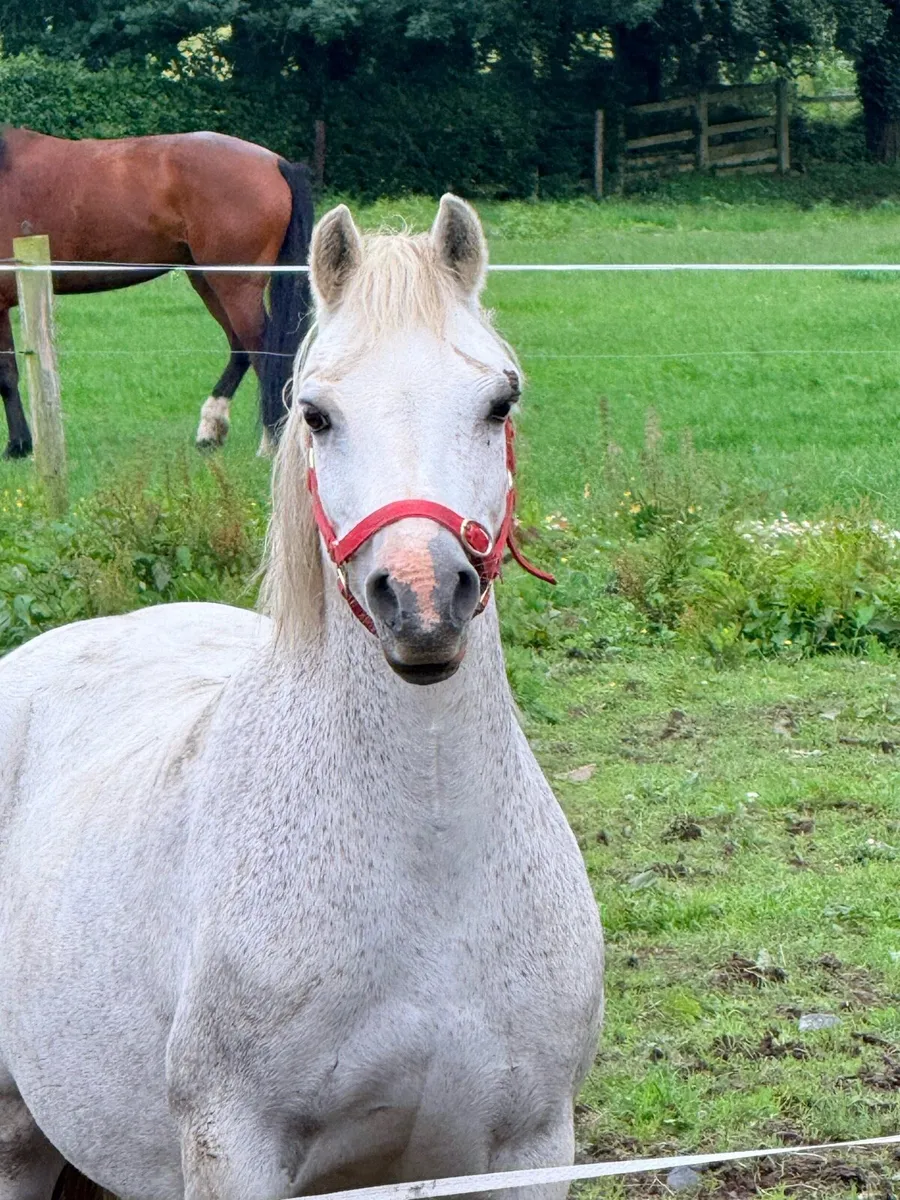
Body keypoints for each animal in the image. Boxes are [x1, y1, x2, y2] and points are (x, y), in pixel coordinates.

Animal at [0, 127, 314, 459]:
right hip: (208, 281)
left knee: (263, 351)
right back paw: (211, 430)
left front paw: (17, 445)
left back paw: (271, 443)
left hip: (234, 286)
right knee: (240, 348)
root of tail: (275, 162)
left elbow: (6, 374)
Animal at [0, 195, 604, 1200]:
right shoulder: (233, 1146)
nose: (423, 599)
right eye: (316, 413)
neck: (428, 876)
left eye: (500, 401)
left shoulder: (528, 1148)